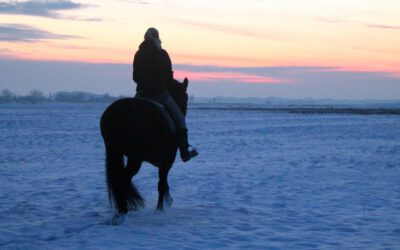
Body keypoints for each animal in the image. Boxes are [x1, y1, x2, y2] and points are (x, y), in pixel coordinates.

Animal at [99, 77, 188, 224]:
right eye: (185, 97)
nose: (183, 112)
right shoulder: (167, 160)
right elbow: (161, 183)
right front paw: (160, 208)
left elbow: (163, 182)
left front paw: (166, 201)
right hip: (135, 158)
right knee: (123, 178)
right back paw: (123, 210)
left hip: (116, 152)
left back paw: (120, 211)